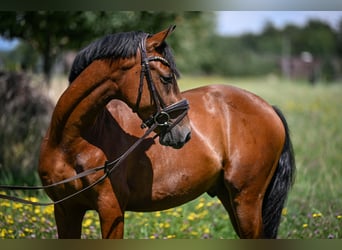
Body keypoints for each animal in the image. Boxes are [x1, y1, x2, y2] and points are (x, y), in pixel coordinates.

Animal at [37, 26, 296, 238]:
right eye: (166, 77)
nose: (185, 133)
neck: (69, 142)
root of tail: (268, 107)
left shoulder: (111, 210)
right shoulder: (65, 210)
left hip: (247, 200)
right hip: (231, 198)